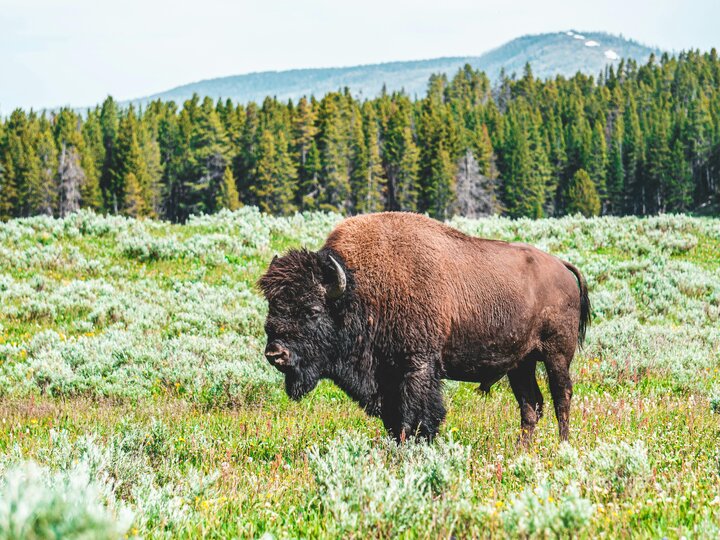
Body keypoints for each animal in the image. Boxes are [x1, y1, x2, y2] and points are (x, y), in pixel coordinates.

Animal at [258, 213, 592, 446]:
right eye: (272, 306)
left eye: (313, 310)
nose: (275, 353)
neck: (359, 290)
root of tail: (562, 266)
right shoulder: (387, 379)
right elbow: (395, 421)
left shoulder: (417, 367)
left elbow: (417, 417)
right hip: (521, 364)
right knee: (530, 405)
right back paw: (522, 450)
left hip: (556, 355)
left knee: (561, 396)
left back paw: (563, 446)